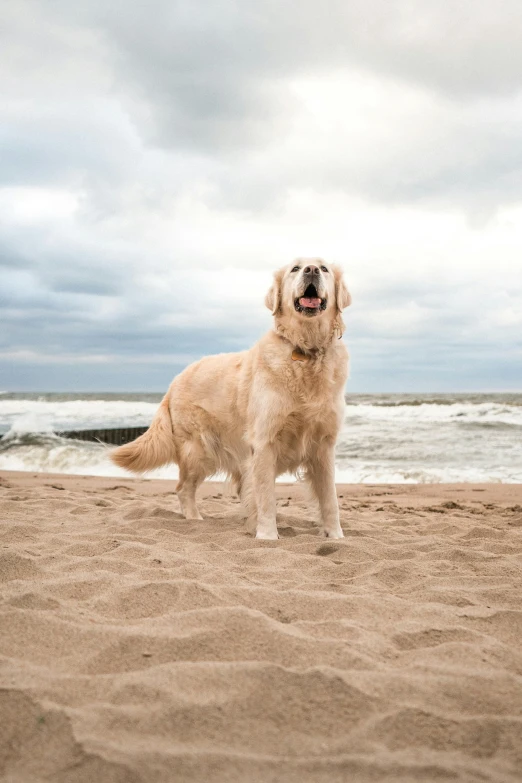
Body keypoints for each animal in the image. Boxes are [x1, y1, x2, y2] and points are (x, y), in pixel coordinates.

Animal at [111, 258, 352, 540]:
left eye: (324, 269)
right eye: (295, 268)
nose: (311, 270)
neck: (306, 351)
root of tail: (173, 383)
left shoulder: (323, 446)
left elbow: (330, 499)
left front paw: (336, 536)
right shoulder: (265, 442)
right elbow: (266, 498)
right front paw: (267, 535)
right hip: (198, 450)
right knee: (183, 488)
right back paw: (195, 519)